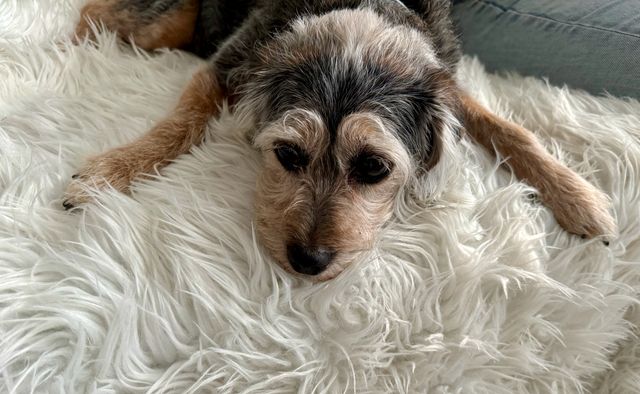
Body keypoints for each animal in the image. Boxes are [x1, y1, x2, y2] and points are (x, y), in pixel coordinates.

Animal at [63, 0, 616, 284]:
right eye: (288, 154)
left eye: (374, 167)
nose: (308, 262)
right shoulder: (230, 62)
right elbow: (185, 118)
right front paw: (113, 170)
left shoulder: (444, 84)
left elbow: (506, 127)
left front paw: (579, 197)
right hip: (167, 23)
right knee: (95, 11)